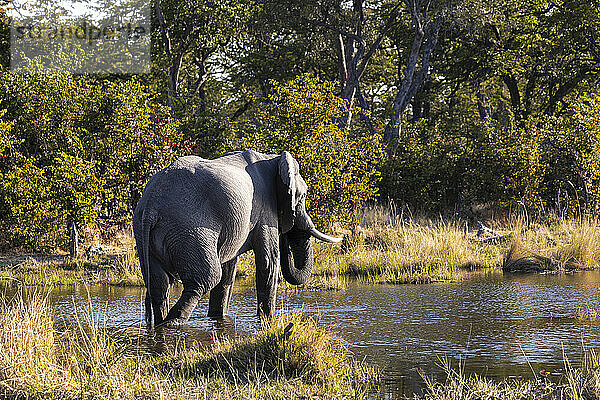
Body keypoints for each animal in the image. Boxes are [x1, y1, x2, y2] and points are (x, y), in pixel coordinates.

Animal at [133, 148, 340, 326]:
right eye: (303, 196)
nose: (286, 235)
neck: (273, 159)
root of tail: (151, 204)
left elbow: (228, 270)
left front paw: (218, 317)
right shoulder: (265, 209)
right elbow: (268, 262)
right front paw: (268, 321)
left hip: (147, 235)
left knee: (159, 285)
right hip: (189, 230)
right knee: (205, 278)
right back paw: (173, 322)